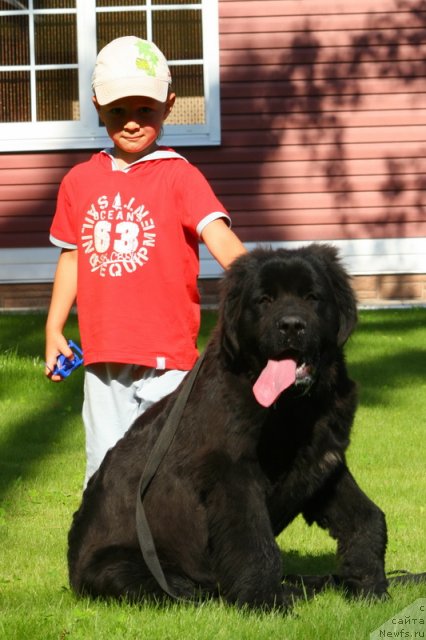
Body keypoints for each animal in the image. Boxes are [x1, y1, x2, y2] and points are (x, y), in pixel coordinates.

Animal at [67, 245, 390, 608]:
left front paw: (369, 583)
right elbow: (255, 542)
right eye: (264, 300)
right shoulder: (233, 473)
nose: (291, 325)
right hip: (122, 568)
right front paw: (265, 601)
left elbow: (366, 515)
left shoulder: (324, 462)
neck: (294, 408)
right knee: (183, 587)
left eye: (312, 297)